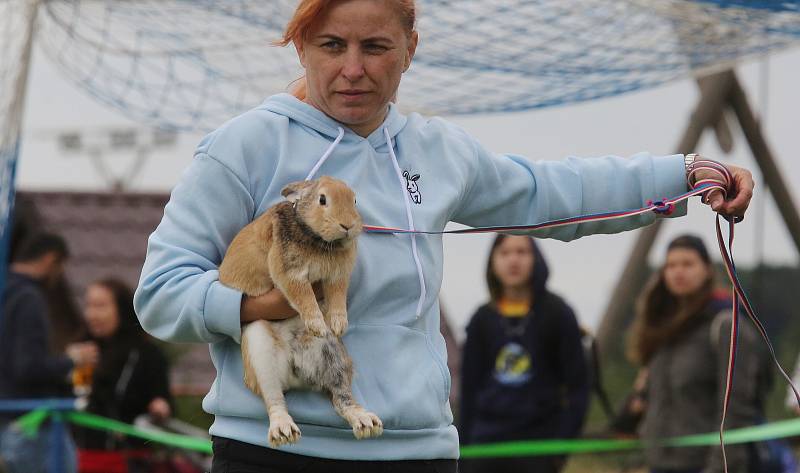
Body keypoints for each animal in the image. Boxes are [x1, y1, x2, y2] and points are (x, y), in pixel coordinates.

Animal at [217, 176, 382, 446]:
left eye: (354, 200)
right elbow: (304, 298)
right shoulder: (290, 274)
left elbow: (338, 298)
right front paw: (318, 325)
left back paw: (366, 422)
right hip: (259, 350)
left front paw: (337, 325)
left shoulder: (337, 277)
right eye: (322, 199)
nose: (348, 225)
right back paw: (284, 431)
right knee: (274, 399)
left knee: (341, 397)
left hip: (334, 357)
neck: (319, 241)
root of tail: (296, 373)